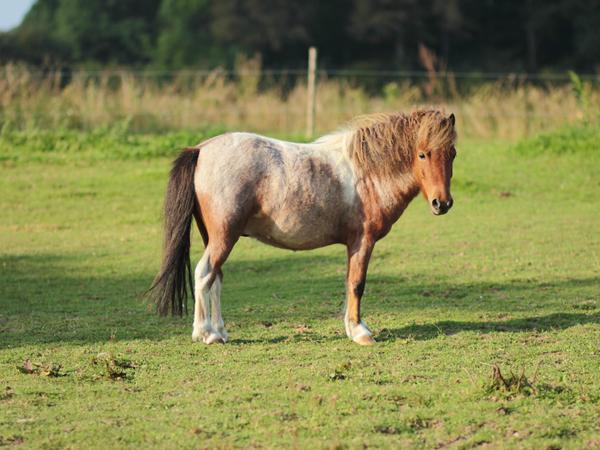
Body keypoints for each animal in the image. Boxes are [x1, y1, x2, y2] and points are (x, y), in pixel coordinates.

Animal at [149, 109, 454, 344]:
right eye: (423, 154)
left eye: (452, 153)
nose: (442, 203)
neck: (367, 174)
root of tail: (201, 150)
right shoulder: (362, 241)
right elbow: (357, 284)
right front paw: (360, 332)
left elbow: (348, 282)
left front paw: (351, 328)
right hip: (224, 237)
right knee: (204, 274)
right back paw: (206, 334)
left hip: (214, 237)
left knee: (216, 278)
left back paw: (221, 331)